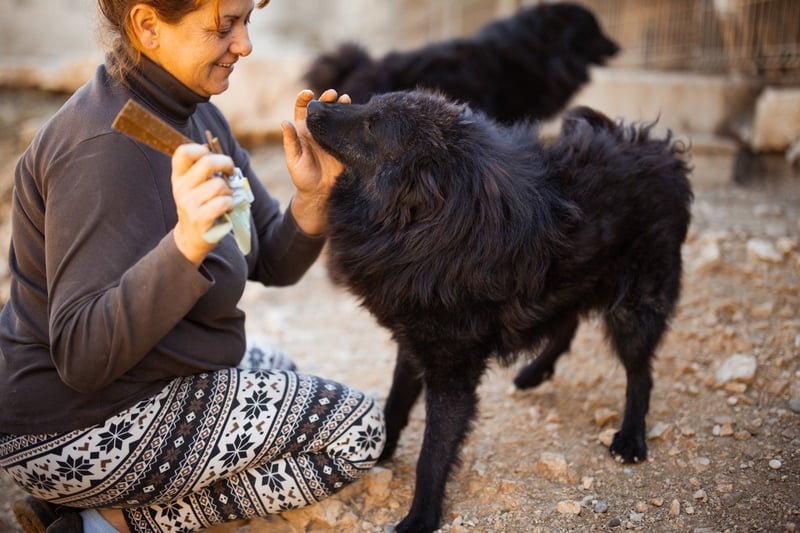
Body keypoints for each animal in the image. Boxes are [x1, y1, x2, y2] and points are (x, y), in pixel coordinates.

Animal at [306, 90, 693, 532]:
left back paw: (630, 437)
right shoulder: (414, 340)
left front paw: (421, 517)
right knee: (568, 319)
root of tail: (661, 151)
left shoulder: (452, 371)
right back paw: (535, 372)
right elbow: (396, 403)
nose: (313, 107)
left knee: (640, 374)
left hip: (635, 307)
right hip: (575, 278)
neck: (422, 224)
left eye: (373, 124)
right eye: (368, 104)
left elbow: (432, 455)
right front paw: (380, 451)